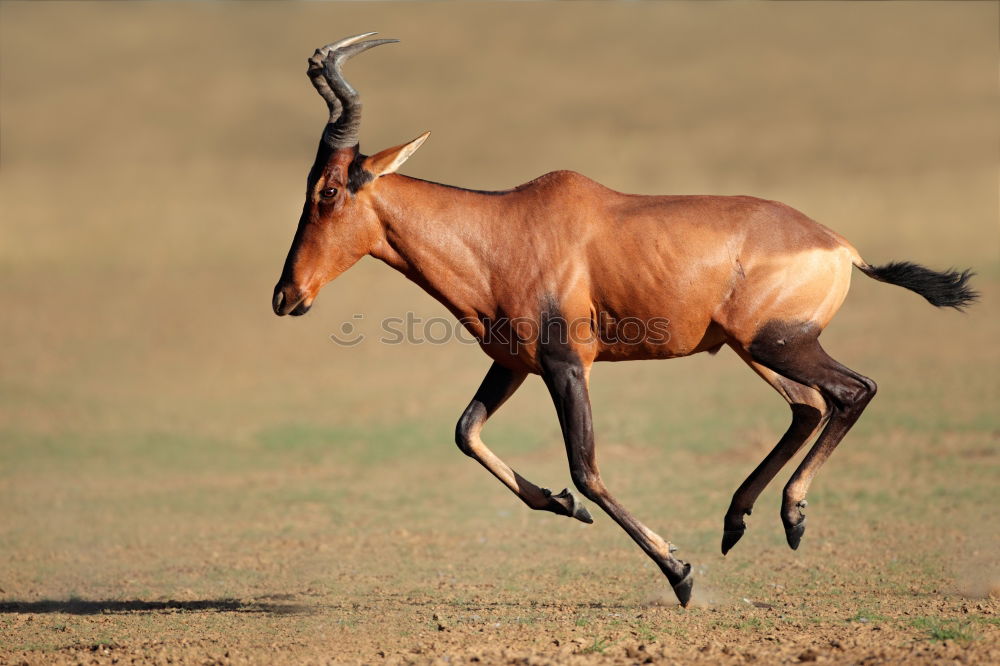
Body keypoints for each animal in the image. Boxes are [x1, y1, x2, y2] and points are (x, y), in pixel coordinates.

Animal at [274, 33, 976, 604]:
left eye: (328, 190)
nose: (286, 296)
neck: (505, 226)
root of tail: (840, 245)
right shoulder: (514, 364)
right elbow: (466, 432)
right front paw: (560, 506)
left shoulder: (567, 365)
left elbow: (586, 468)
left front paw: (680, 573)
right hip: (754, 350)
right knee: (807, 406)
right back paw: (737, 521)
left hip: (781, 344)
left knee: (852, 391)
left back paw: (790, 517)